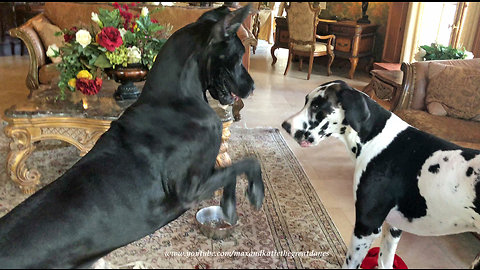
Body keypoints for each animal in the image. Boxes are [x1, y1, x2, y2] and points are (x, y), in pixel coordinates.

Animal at [0, 5, 262, 268]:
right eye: (239, 56)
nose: (252, 87)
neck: (177, 99)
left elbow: (234, 169)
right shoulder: (189, 191)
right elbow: (244, 164)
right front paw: (250, 196)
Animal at [282, 81, 480, 268]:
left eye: (317, 106)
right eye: (306, 101)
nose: (285, 126)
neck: (376, 137)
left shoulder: (366, 227)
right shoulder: (393, 227)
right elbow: (385, 262)